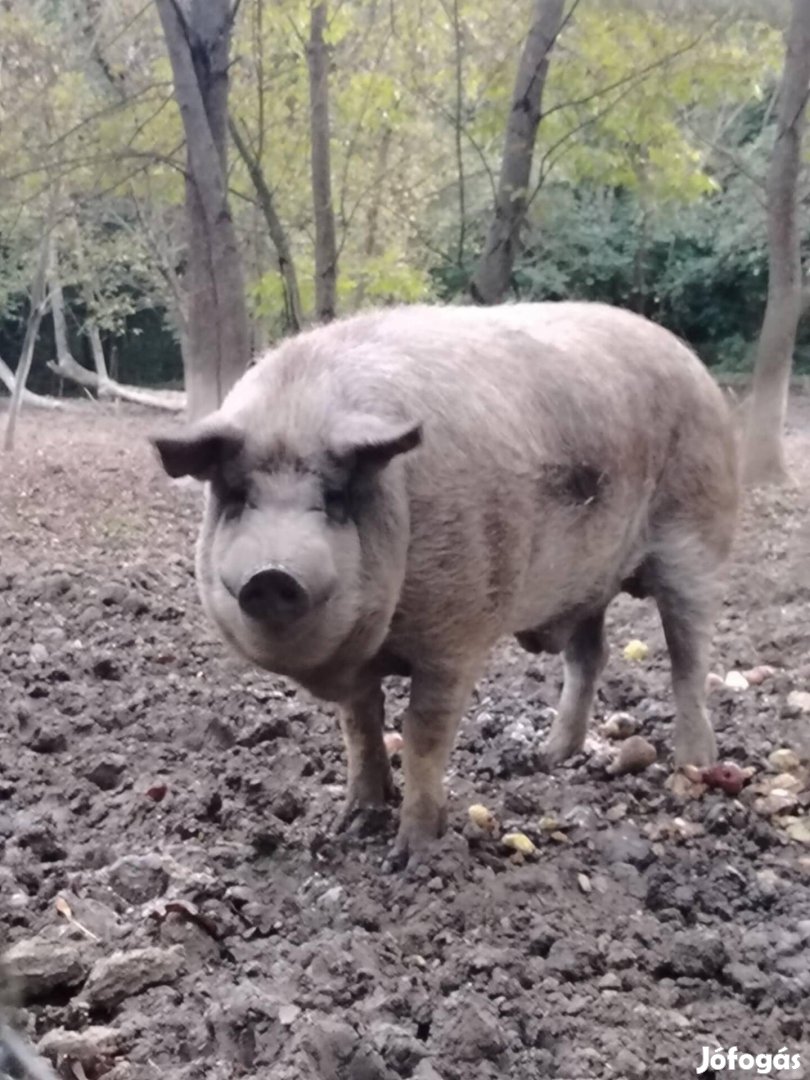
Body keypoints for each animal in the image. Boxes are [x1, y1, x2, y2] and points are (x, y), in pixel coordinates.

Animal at [152, 302, 743, 868]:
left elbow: (422, 733)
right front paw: (350, 825)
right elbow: (359, 726)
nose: (271, 574)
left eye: (336, 498)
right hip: (585, 583)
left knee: (688, 658)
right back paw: (548, 758)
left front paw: (411, 858)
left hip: (698, 539)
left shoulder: (455, 636)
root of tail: (693, 364)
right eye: (235, 496)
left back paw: (693, 766)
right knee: (590, 656)